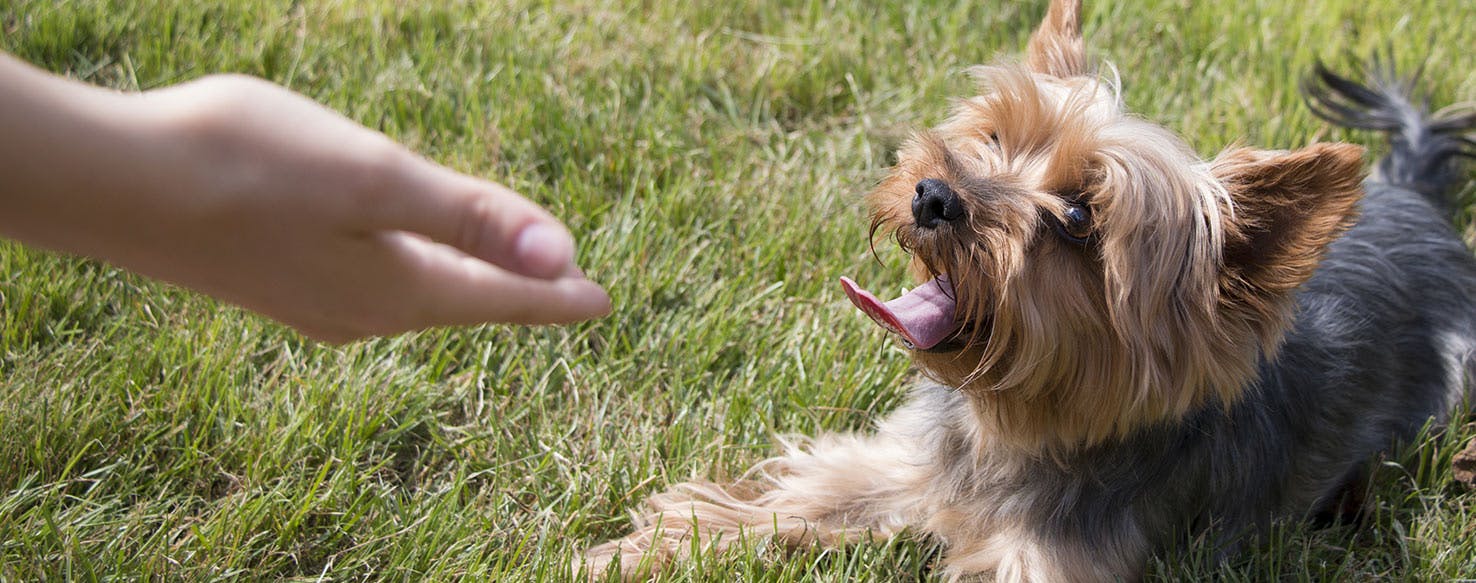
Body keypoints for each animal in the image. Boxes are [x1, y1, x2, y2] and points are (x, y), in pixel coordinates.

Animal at [584, 2, 1476, 581]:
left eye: (1079, 217)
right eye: (995, 135)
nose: (934, 194)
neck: (1013, 432)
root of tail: (1412, 198)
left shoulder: (1054, 559)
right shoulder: (902, 465)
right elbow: (804, 493)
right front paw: (644, 548)